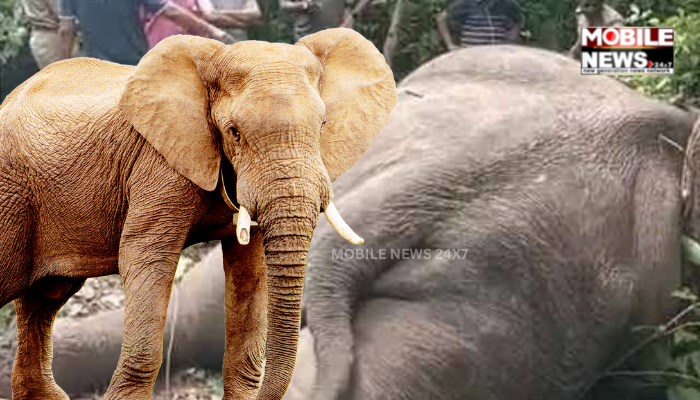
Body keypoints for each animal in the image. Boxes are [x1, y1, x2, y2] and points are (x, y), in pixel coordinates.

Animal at [0, 27, 397, 400]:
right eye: (234, 132)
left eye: (322, 127)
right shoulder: (158, 164)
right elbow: (147, 258)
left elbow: (250, 270)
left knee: (45, 298)